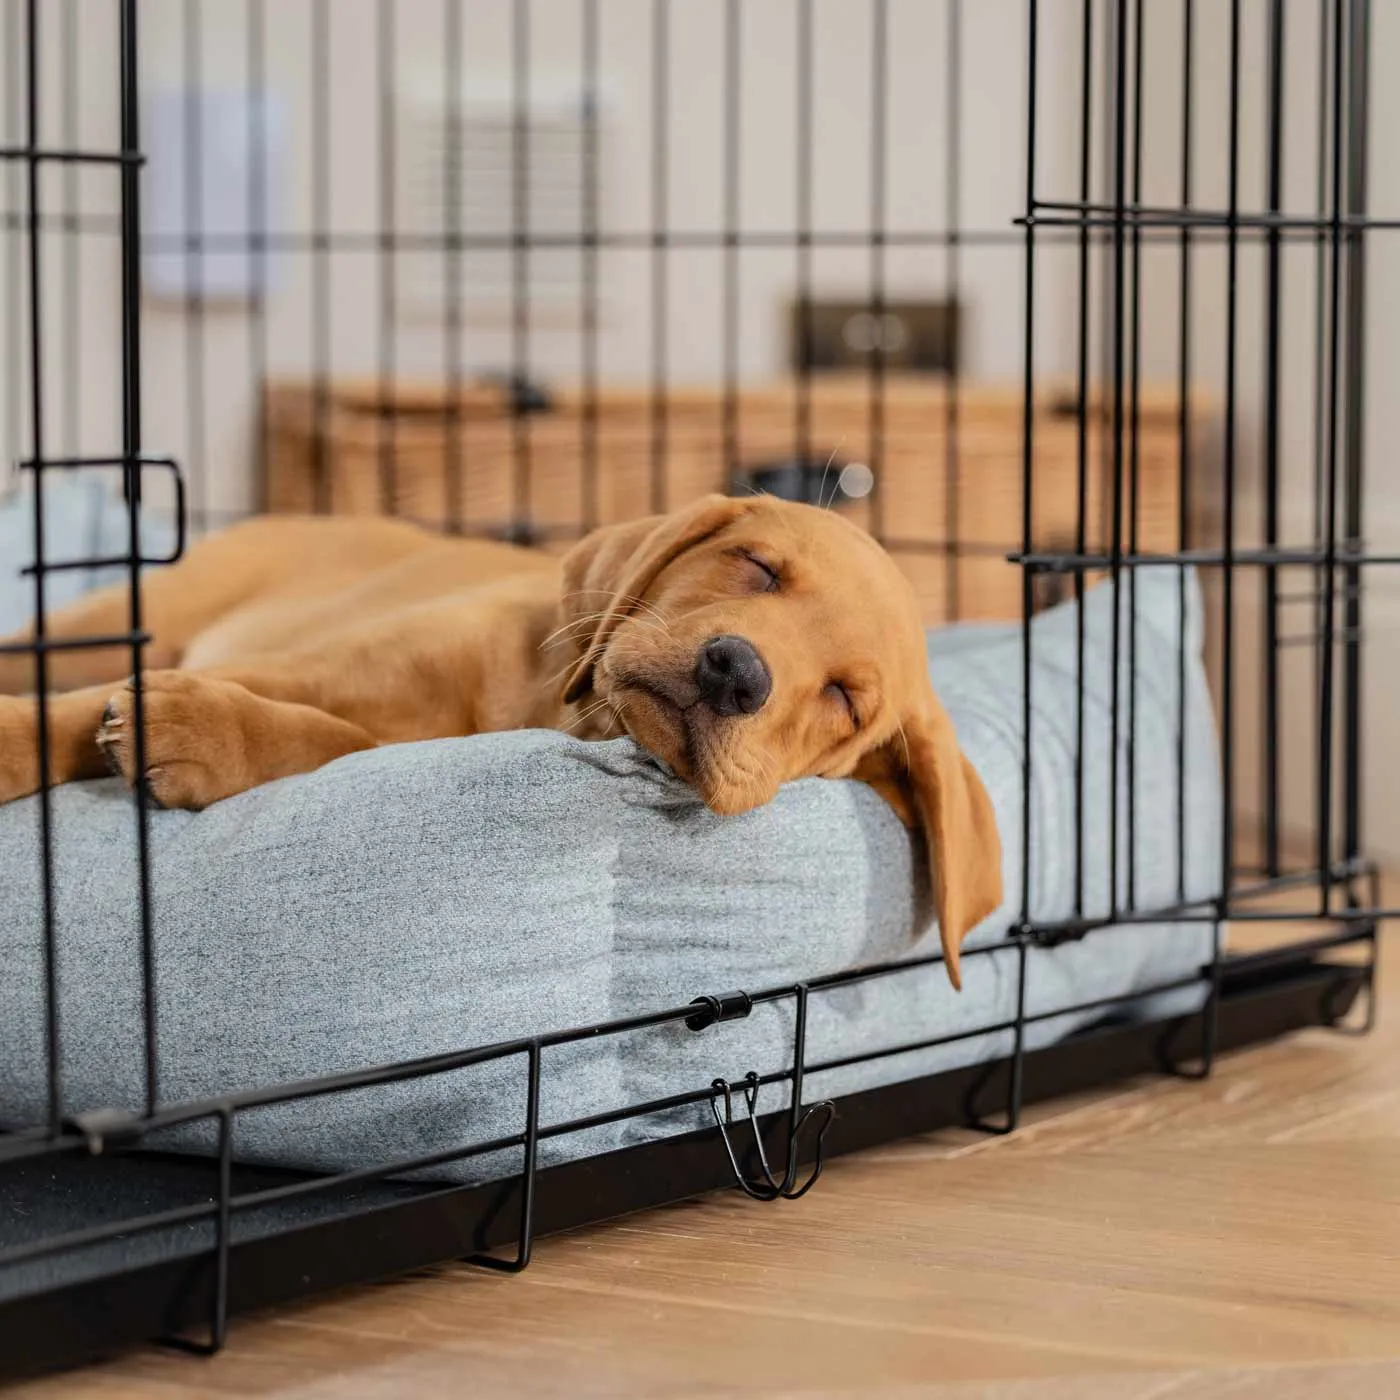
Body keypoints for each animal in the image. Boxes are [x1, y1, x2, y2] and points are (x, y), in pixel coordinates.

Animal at [2, 498, 1008, 991]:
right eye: (758, 566)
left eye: (845, 699)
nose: (735, 673)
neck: (548, 708)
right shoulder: (309, 660)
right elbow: (71, 709)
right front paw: (16, 738)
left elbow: (328, 740)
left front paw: (196, 731)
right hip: (129, 615)